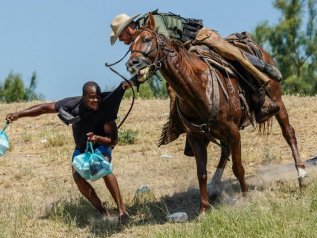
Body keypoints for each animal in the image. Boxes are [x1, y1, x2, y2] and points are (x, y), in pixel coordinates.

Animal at [125, 13, 306, 214]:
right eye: (130, 45)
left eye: (147, 39)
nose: (132, 64)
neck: (199, 88)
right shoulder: (196, 137)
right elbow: (201, 173)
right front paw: (203, 209)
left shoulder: (233, 132)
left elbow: (238, 167)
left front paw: (246, 198)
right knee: (225, 150)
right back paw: (215, 185)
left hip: (277, 101)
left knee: (288, 133)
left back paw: (301, 175)